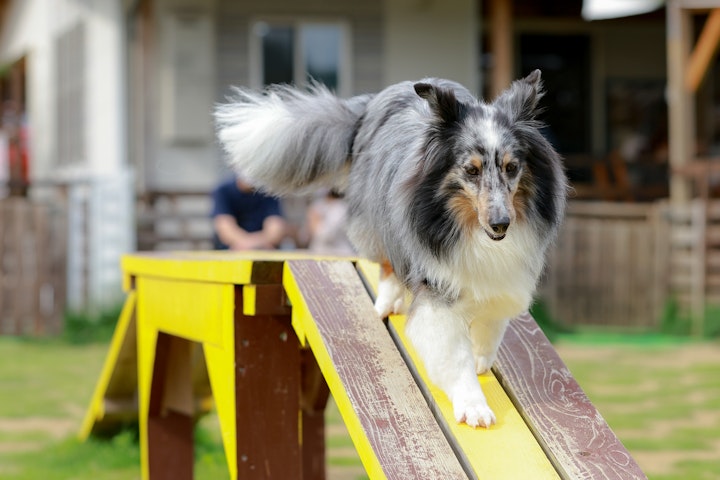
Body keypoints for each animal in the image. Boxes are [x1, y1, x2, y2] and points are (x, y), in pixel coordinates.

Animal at [214, 71, 568, 428]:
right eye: (471, 170)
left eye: (511, 167)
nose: (501, 224)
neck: (465, 226)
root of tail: (374, 101)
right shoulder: (437, 288)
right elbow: (453, 356)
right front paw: (474, 407)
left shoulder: (501, 279)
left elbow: (491, 323)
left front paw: (482, 357)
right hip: (375, 218)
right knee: (386, 263)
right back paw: (385, 302)